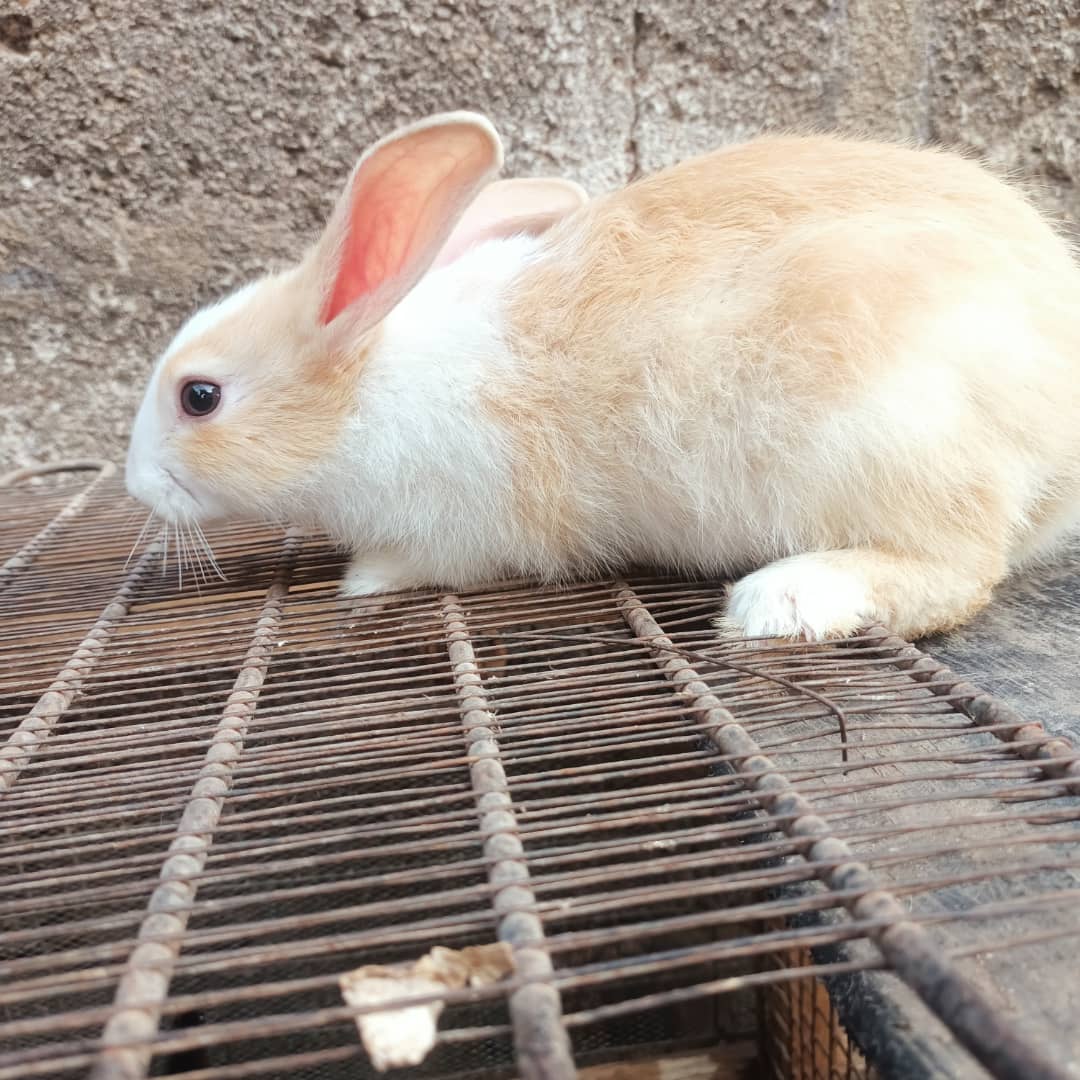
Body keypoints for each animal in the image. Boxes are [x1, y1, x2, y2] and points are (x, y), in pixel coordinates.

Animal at [125, 111, 1080, 642]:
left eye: (199, 397)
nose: (135, 485)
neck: (366, 384)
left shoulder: (464, 530)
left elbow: (422, 562)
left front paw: (363, 579)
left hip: (892, 440)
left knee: (959, 571)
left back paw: (785, 600)